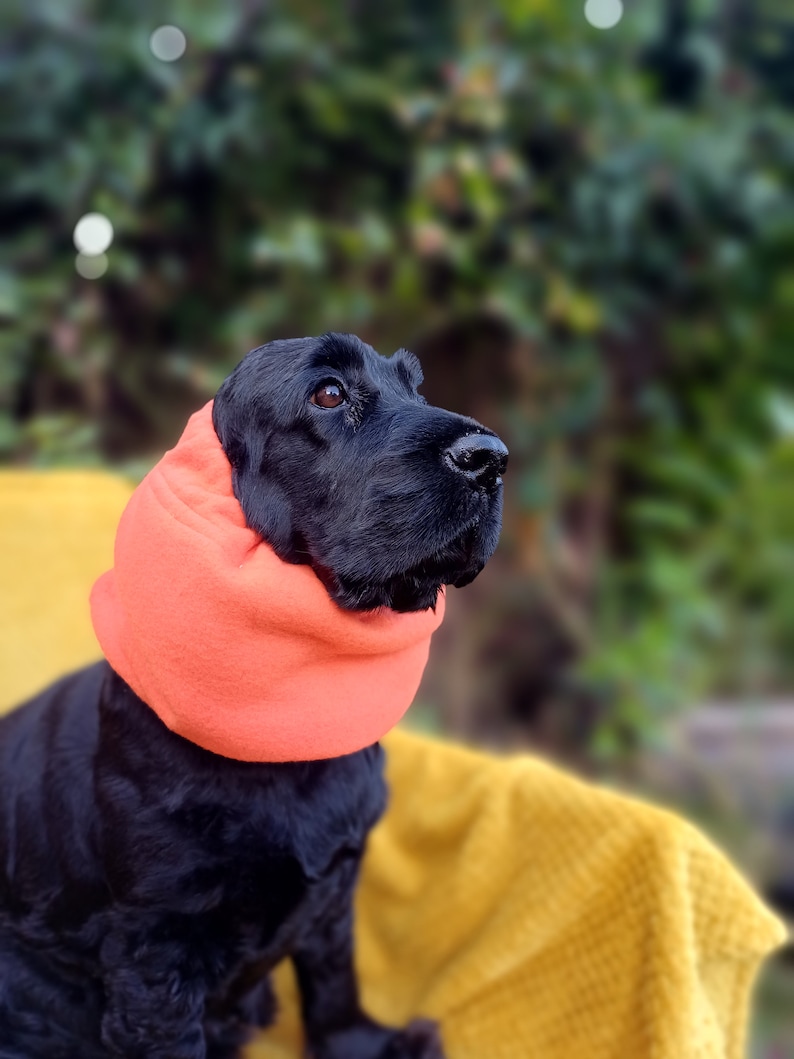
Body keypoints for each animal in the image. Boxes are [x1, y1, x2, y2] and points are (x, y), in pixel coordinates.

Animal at [0, 332, 510, 1059]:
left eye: (416, 384)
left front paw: (365, 1044)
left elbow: (334, 977)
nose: (490, 459)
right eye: (328, 392)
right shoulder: (158, 943)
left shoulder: (336, 884)